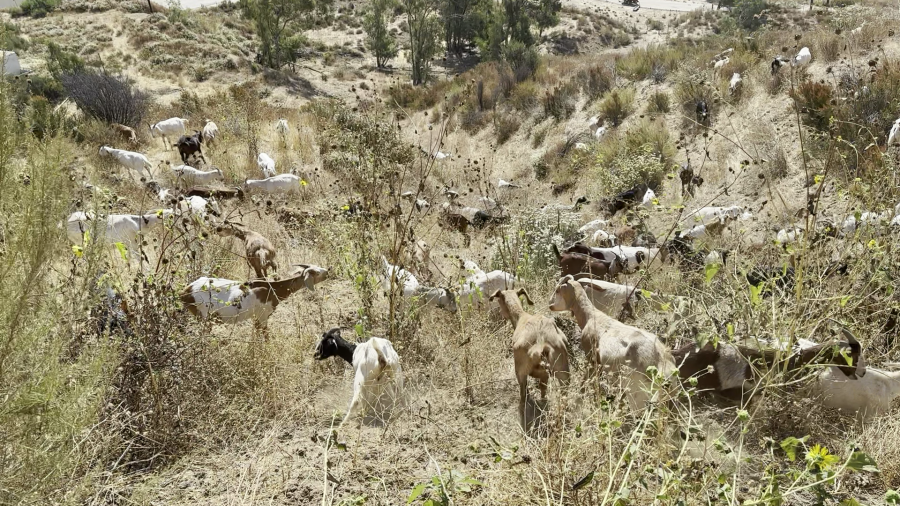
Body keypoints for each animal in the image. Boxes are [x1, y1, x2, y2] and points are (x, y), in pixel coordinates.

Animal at [490, 288, 569, 429]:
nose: (500, 314)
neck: (521, 317)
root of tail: (541, 342)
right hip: (562, 369)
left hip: (520, 369)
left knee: (523, 394)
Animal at [549, 275, 676, 410]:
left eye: (558, 290)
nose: (550, 305)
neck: (592, 316)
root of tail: (663, 363)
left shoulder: (592, 359)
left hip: (637, 393)